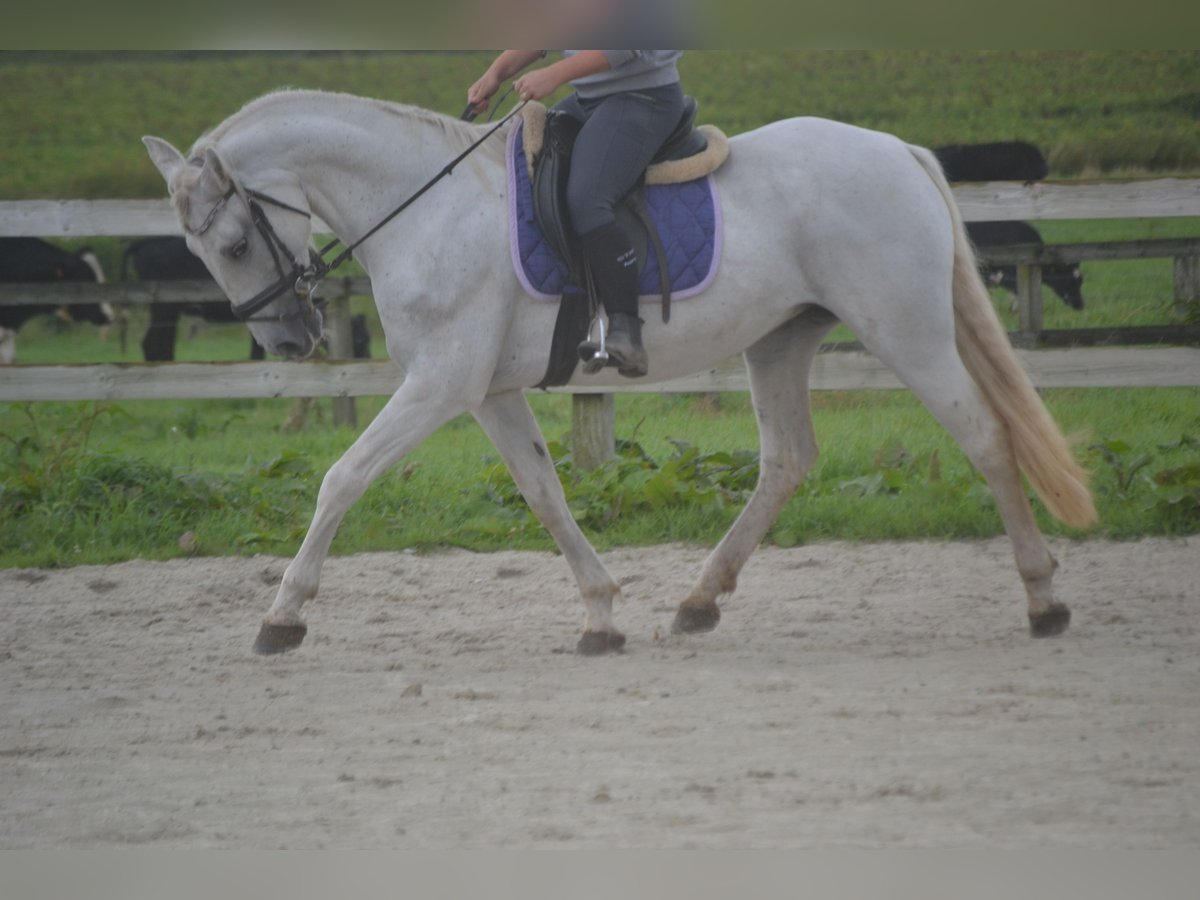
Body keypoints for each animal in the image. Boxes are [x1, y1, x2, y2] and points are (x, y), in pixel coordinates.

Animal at [142, 90, 1099, 657]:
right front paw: (601, 613)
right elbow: (545, 494)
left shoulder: (439, 386)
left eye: (233, 243)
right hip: (780, 341)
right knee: (787, 460)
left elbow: (341, 478)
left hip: (906, 331)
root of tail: (900, 151)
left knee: (985, 438)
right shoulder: (487, 393)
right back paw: (700, 601)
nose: (287, 341)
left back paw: (1045, 600)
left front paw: (283, 615)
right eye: (206, 250)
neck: (427, 207)